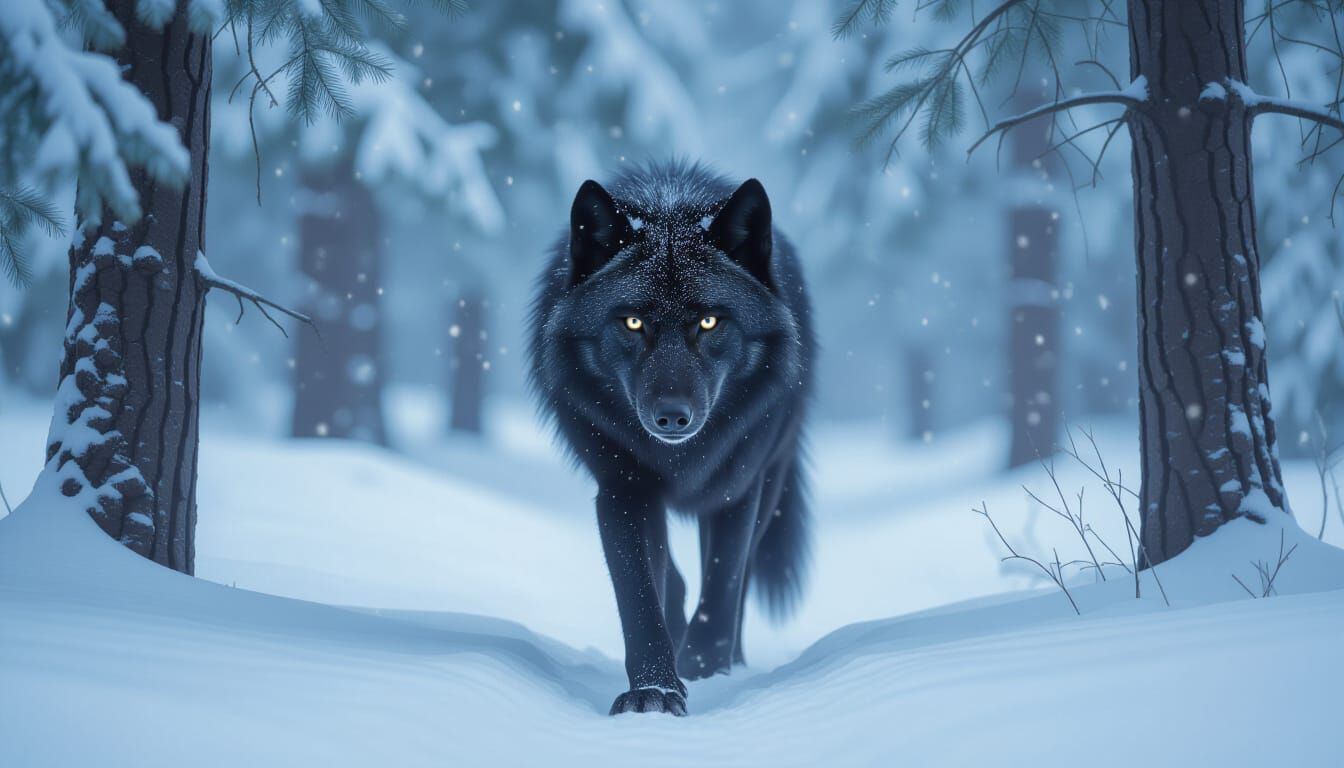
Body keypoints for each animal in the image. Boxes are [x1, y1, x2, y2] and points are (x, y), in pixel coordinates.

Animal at [529, 162, 814, 717]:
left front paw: (708, 671)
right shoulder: (622, 491)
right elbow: (640, 597)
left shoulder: (737, 490)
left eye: (708, 321)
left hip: (770, 481)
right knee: (676, 582)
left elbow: (722, 588)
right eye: (633, 321)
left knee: (737, 579)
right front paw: (654, 691)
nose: (672, 417)